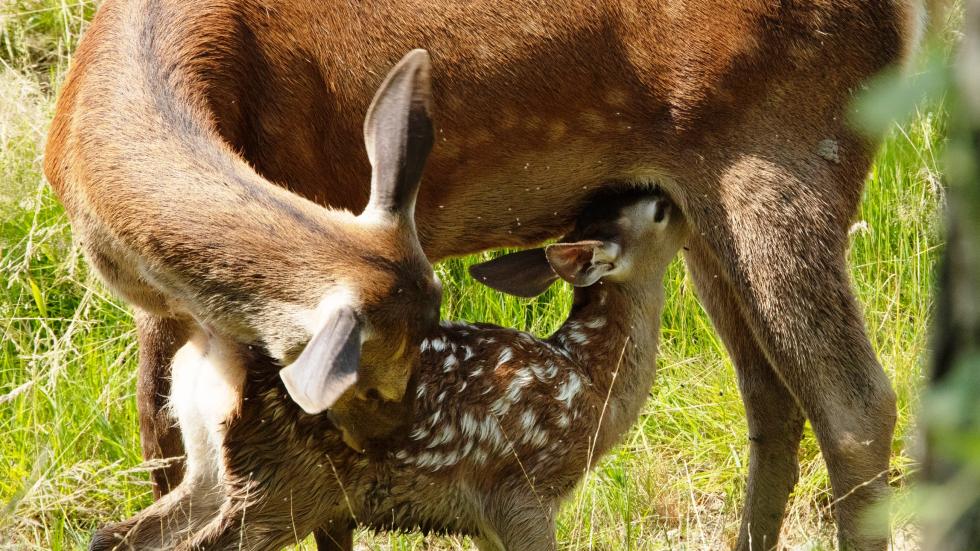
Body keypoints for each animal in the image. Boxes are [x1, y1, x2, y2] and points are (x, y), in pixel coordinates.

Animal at [44, 2, 920, 548]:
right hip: (707, 205)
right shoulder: (164, 310)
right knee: (773, 396)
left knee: (856, 404)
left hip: (784, 150)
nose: (397, 438)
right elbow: (160, 454)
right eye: (377, 375)